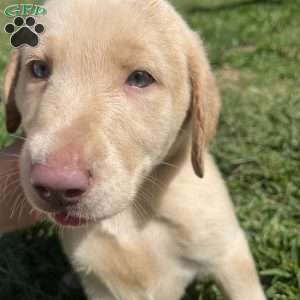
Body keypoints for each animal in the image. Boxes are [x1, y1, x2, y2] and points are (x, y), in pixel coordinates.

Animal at [1, 0, 264, 300]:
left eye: (140, 78)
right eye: (39, 70)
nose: (55, 185)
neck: (132, 214)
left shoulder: (229, 253)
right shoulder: (100, 285)